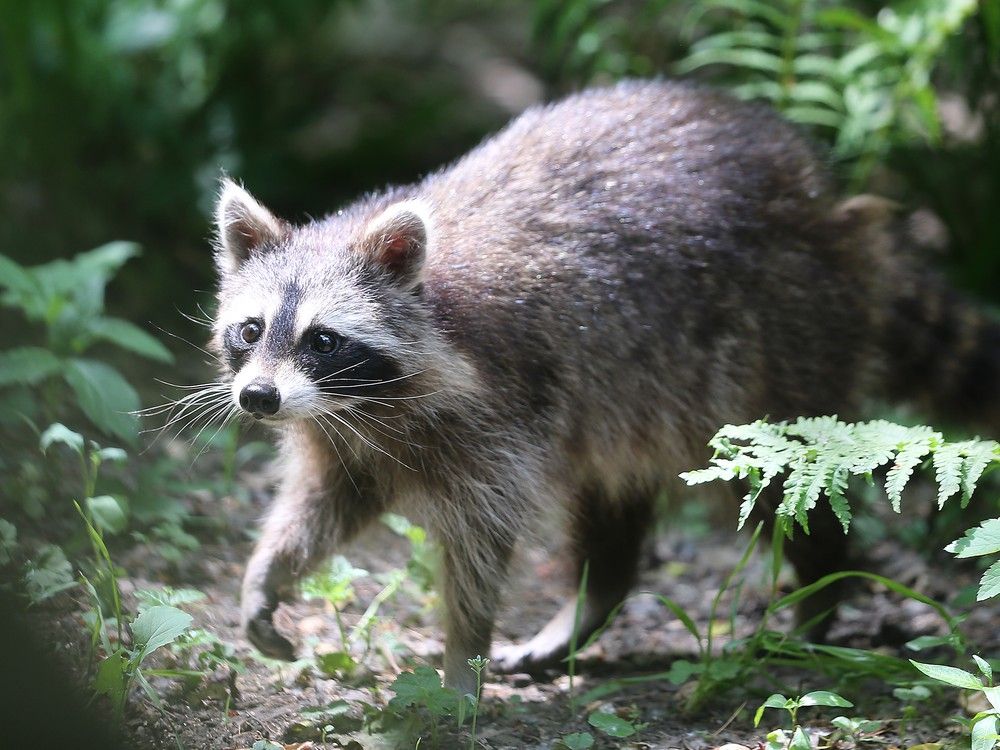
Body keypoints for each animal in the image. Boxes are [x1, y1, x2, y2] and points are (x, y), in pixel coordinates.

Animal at [207, 81, 996, 692]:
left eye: (322, 339)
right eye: (251, 330)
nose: (258, 399)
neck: (368, 402)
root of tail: (828, 209)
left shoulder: (496, 415)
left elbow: (479, 543)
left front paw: (463, 656)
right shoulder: (348, 434)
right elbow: (326, 502)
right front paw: (267, 575)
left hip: (782, 341)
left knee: (790, 482)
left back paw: (819, 595)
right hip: (633, 399)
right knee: (609, 496)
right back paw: (595, 600)